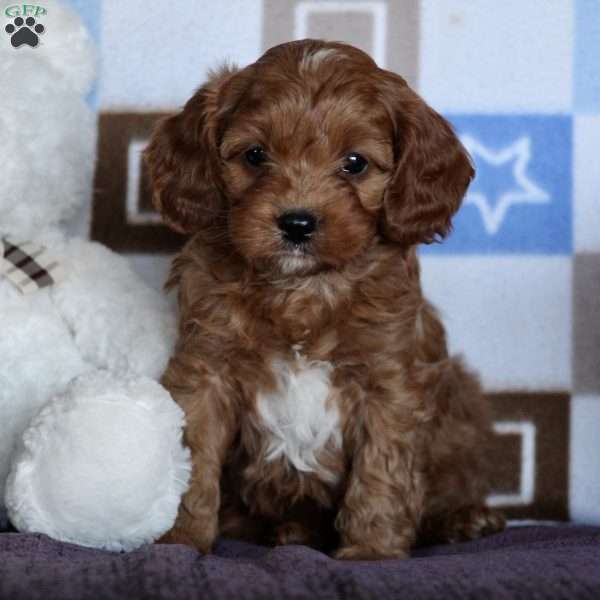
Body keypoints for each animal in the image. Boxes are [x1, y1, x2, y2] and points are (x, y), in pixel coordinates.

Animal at [145, 39, 506, 560]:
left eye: (354, 163)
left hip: (464, 415)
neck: (302, 291)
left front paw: (372, 550)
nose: (297, 223)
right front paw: (180, 541)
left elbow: (381, 472)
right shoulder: (206, 371)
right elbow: (193, 461)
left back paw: (465, 518)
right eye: (255, 155)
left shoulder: (389, 384)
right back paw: (292, 531)